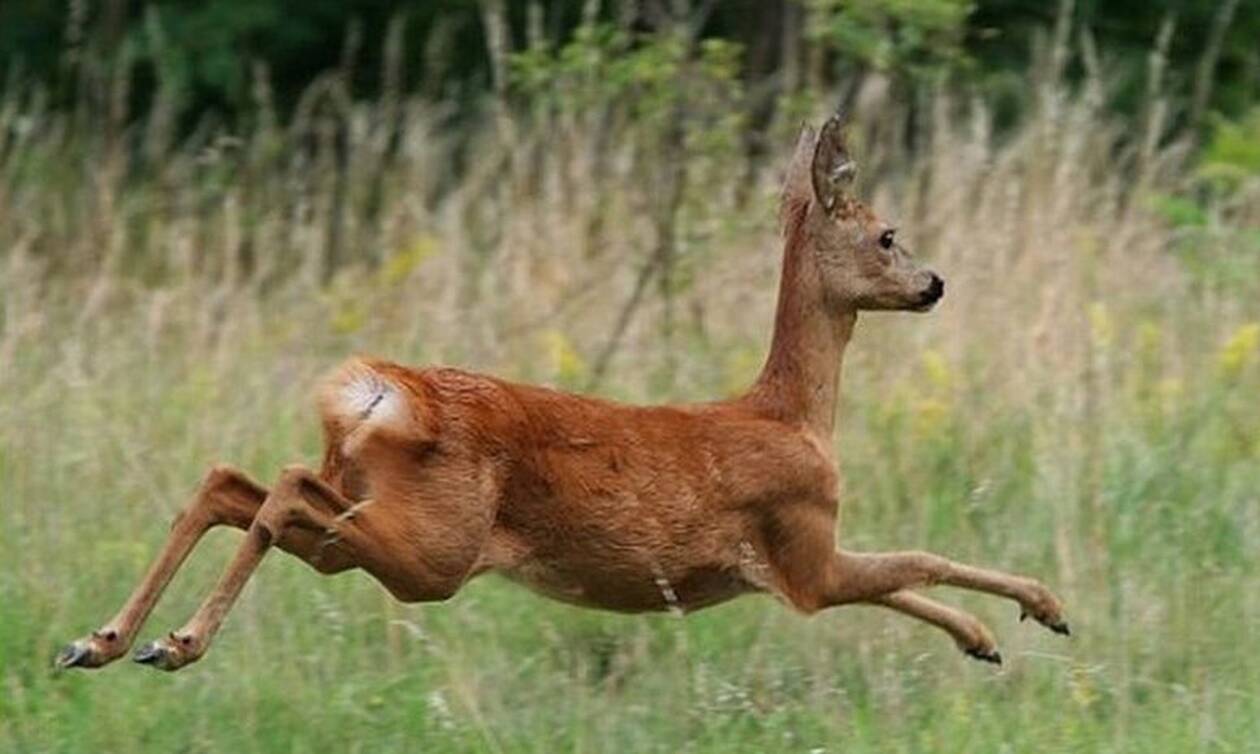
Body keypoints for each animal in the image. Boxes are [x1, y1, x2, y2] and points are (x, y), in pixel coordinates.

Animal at [56, 113, 1063, 675]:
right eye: (888, 233)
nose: (936, 283)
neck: (795, 416)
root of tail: (377, 395)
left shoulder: (796, 569)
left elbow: (907, 577)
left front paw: (987, 638)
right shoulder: (801, 547)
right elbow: (920, 558)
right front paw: (1042, 605)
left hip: (376, 525)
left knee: (235, 481)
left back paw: (103, 641)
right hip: (435, 551)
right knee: (284, 487)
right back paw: (174, 643)